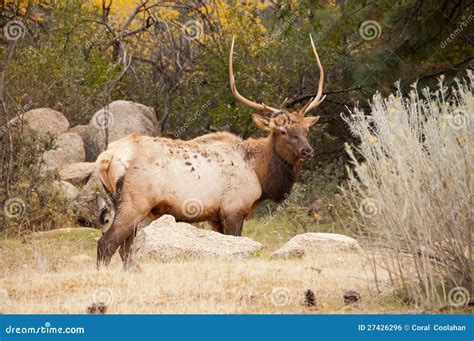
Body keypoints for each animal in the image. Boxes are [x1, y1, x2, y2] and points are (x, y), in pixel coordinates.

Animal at [96, 35, 326, 268]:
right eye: (282, 131)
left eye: (306, 129)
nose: (307, 151)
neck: (259, 173)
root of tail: (106, 158)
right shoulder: (234, 209)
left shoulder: (215, 216)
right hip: (134, 204)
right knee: (106, 244)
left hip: (119, 203)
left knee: (124, 249)